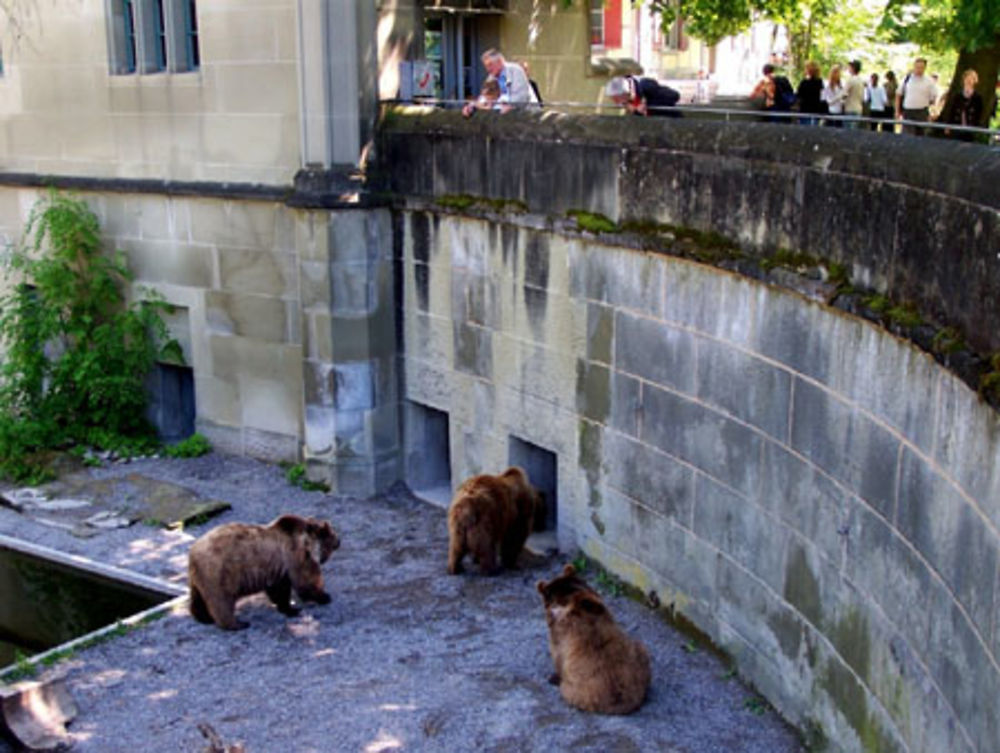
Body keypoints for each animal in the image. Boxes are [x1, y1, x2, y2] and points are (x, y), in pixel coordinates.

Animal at [188, 512, 340, 628]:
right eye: (333, 534)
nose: (339, 541)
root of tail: (193, 552)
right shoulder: (295, 557)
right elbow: (305, 582)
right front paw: (322, 596)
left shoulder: (278, 570)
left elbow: (279, 591)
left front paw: (287, 608)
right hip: (220, 572)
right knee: (222, 600)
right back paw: (237, 624)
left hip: (199, 578)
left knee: (198, 598)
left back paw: (203, 617)